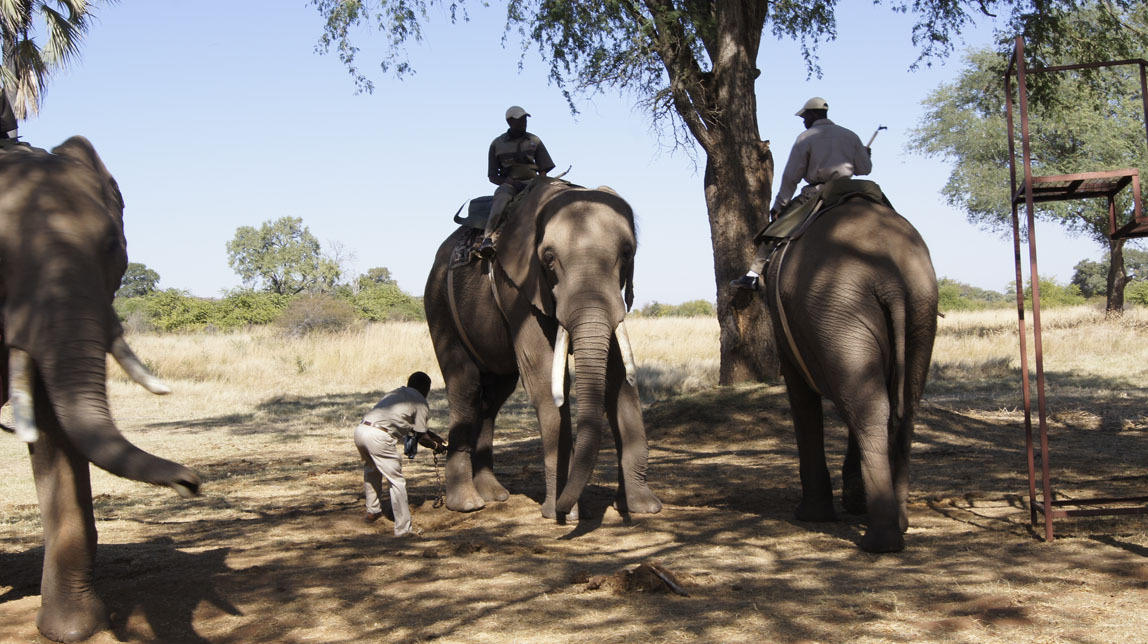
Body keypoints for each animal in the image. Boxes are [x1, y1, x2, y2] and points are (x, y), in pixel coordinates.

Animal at [424, 177, 665, 518]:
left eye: (628, 253)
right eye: (549, 258)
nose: (565, 508)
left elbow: (618, 377)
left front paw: (644, 507)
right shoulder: (516, 285)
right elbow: (542, 374)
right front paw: (561, 513)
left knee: (494, 395)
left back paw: (495, 494)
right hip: (439, 305)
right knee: (466, 387)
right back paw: (468, 504)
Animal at [757, 190, 936, 553]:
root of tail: (893, 278)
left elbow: (801, 397)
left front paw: (814, 515)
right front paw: (853, 502)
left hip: (837, 305)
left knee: (868, 409)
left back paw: (880, 541)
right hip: (917, 306)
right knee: (902, 405)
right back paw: (899, 523)